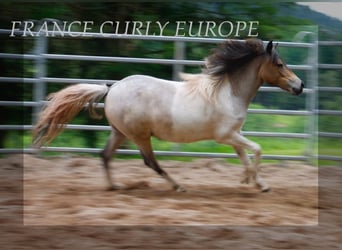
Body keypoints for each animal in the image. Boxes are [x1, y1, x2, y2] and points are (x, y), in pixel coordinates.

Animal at [33, 38, 304, 191]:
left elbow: (245, 156)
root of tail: (112, 88)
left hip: (120, 133)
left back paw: (114, 186)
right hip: (140, 136)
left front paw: (253, 182)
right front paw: (258, 183)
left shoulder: (234, 134)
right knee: (150, 162)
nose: (299, 86)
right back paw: (177, 186)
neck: (228, 92)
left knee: (105, 155)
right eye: (279, 64)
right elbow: (257, 149)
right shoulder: (225, 135)